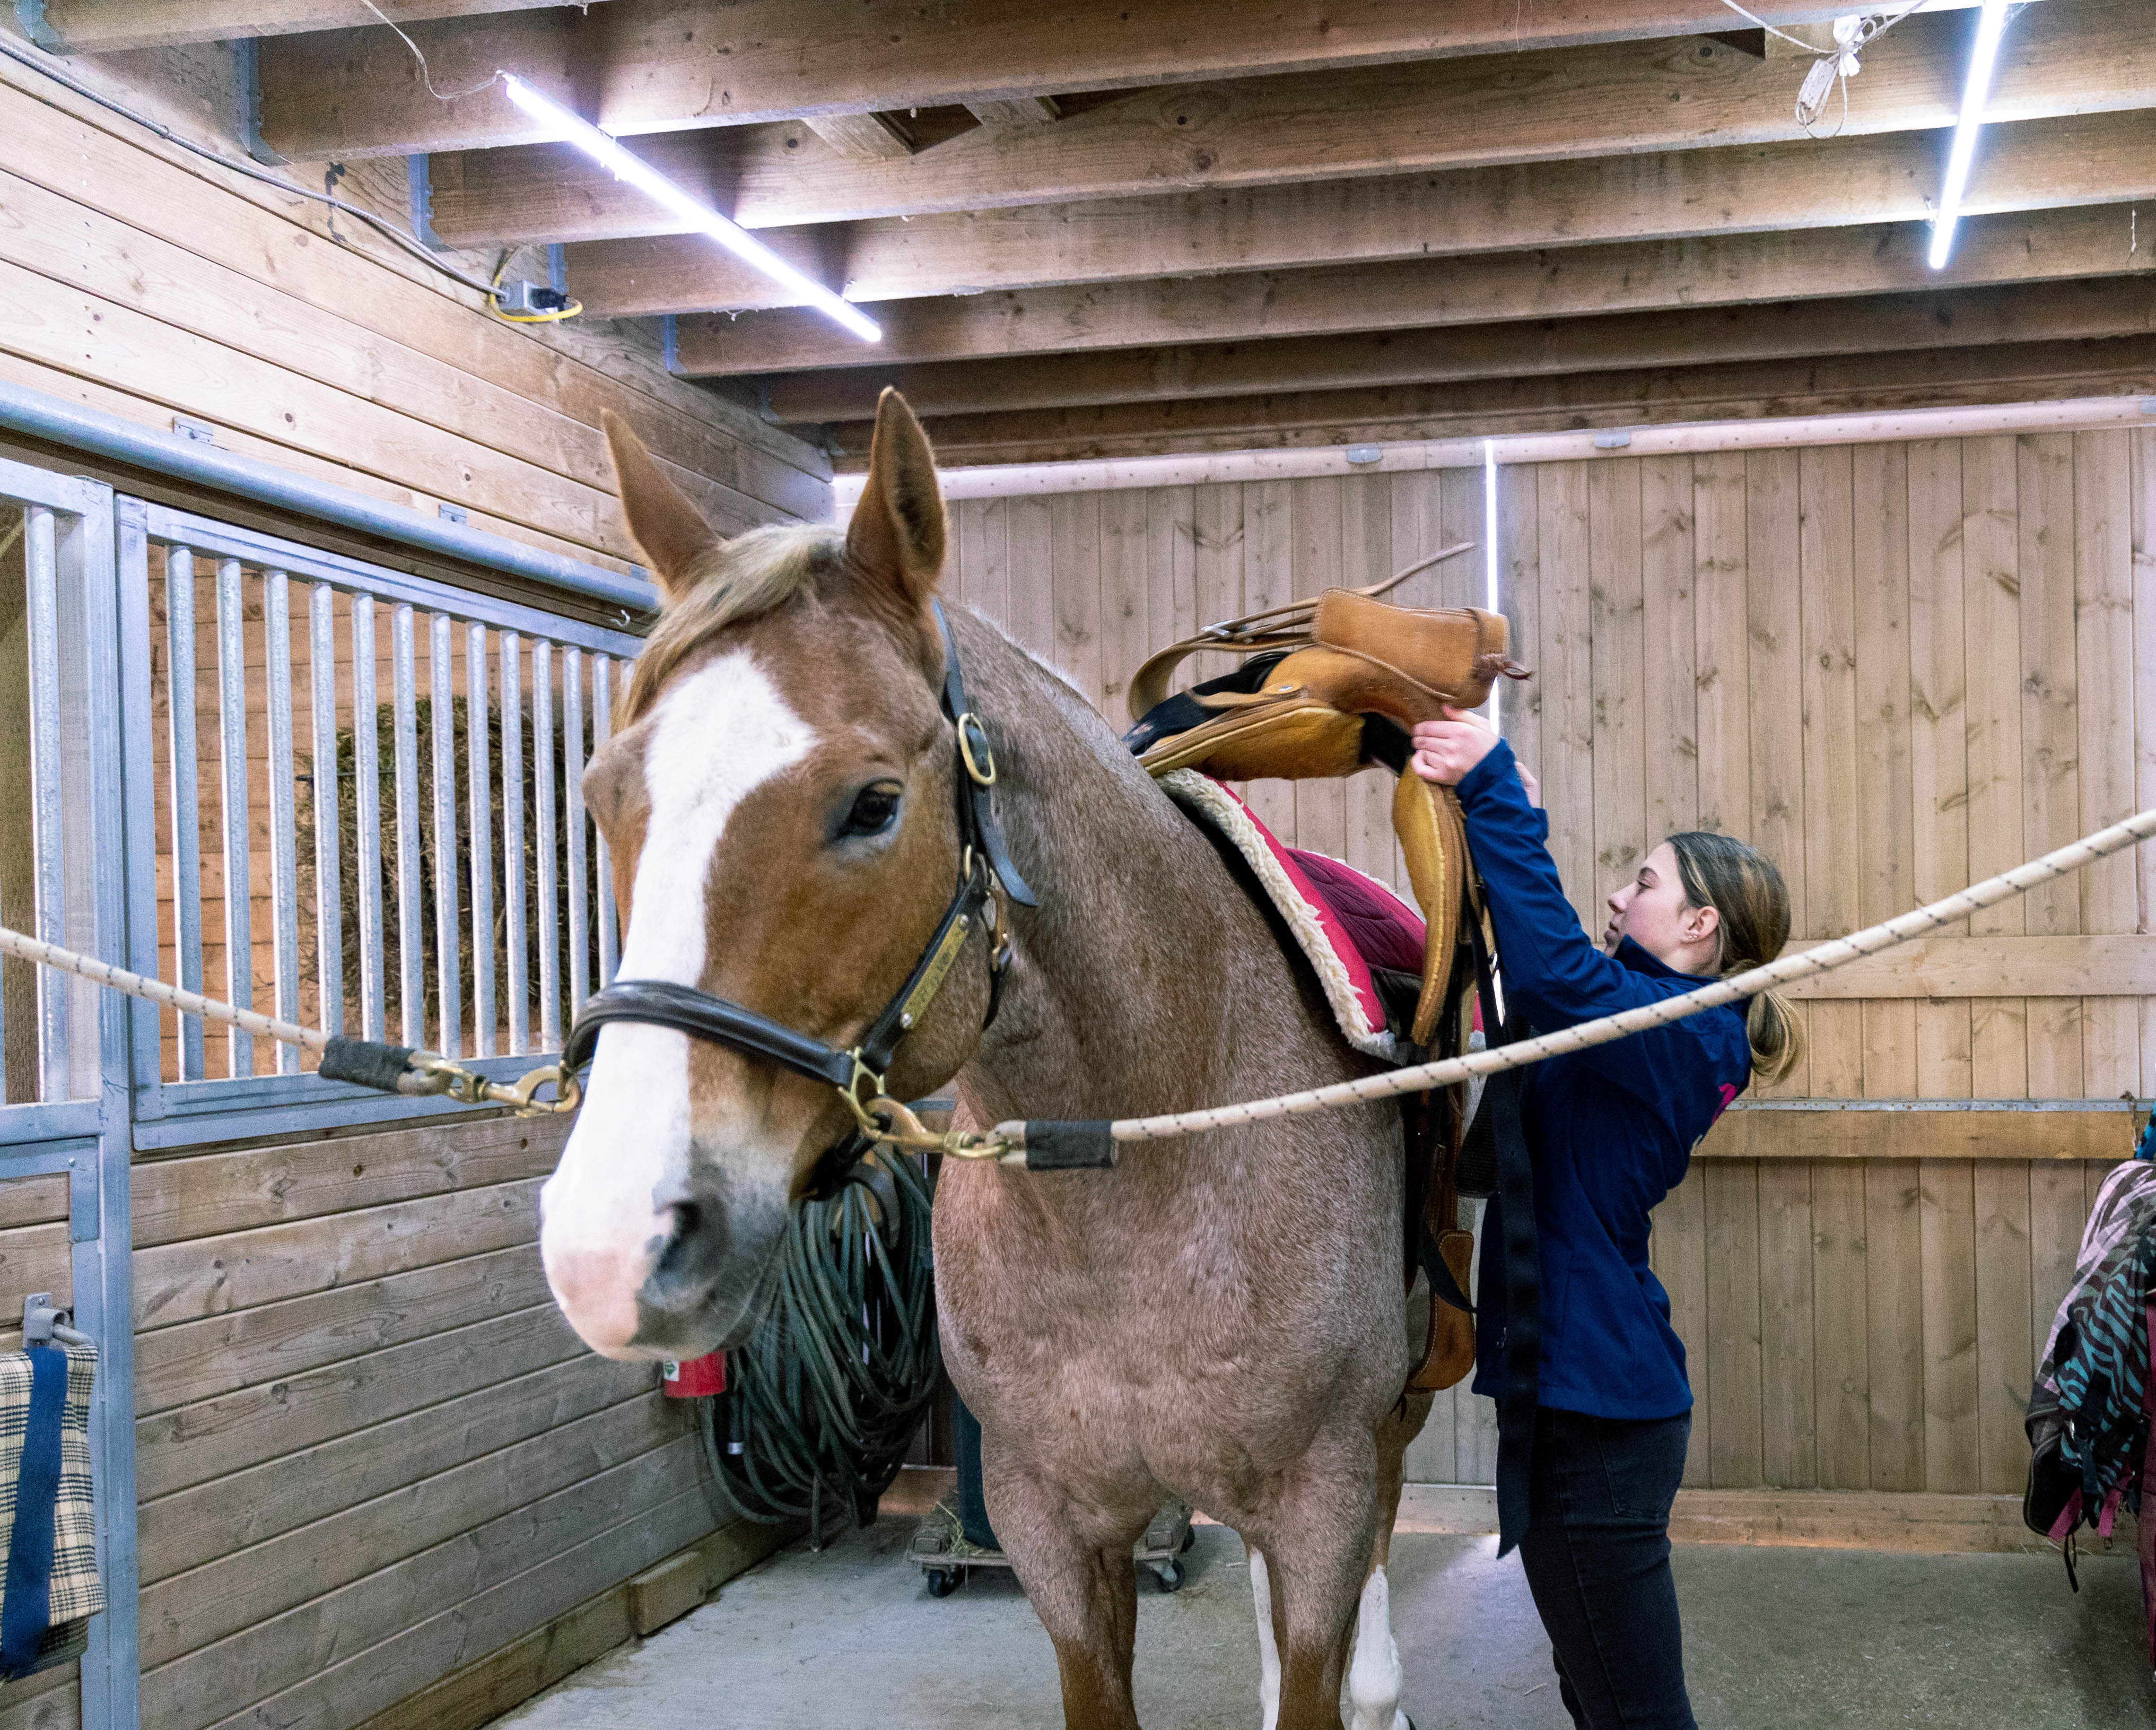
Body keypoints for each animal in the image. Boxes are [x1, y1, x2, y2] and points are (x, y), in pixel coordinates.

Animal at [543, 390, 1431, 1725]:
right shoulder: (1051, 1533)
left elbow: (1327, 1653)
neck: (1142, 1172)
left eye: (872, 803)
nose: (608, 1242)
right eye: (604, 795)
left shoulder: (1319, 1507)